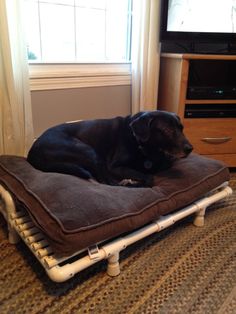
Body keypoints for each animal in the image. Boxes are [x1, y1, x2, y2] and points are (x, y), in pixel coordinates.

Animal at [27, 111, 194, 186]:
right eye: (166, 130)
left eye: (181, 128)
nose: (190, 148)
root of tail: (31, 153)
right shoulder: (115, 166)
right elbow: (149, 177)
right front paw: (137, 179)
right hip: (87, 150)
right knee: (106, 181)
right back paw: (127, 183)